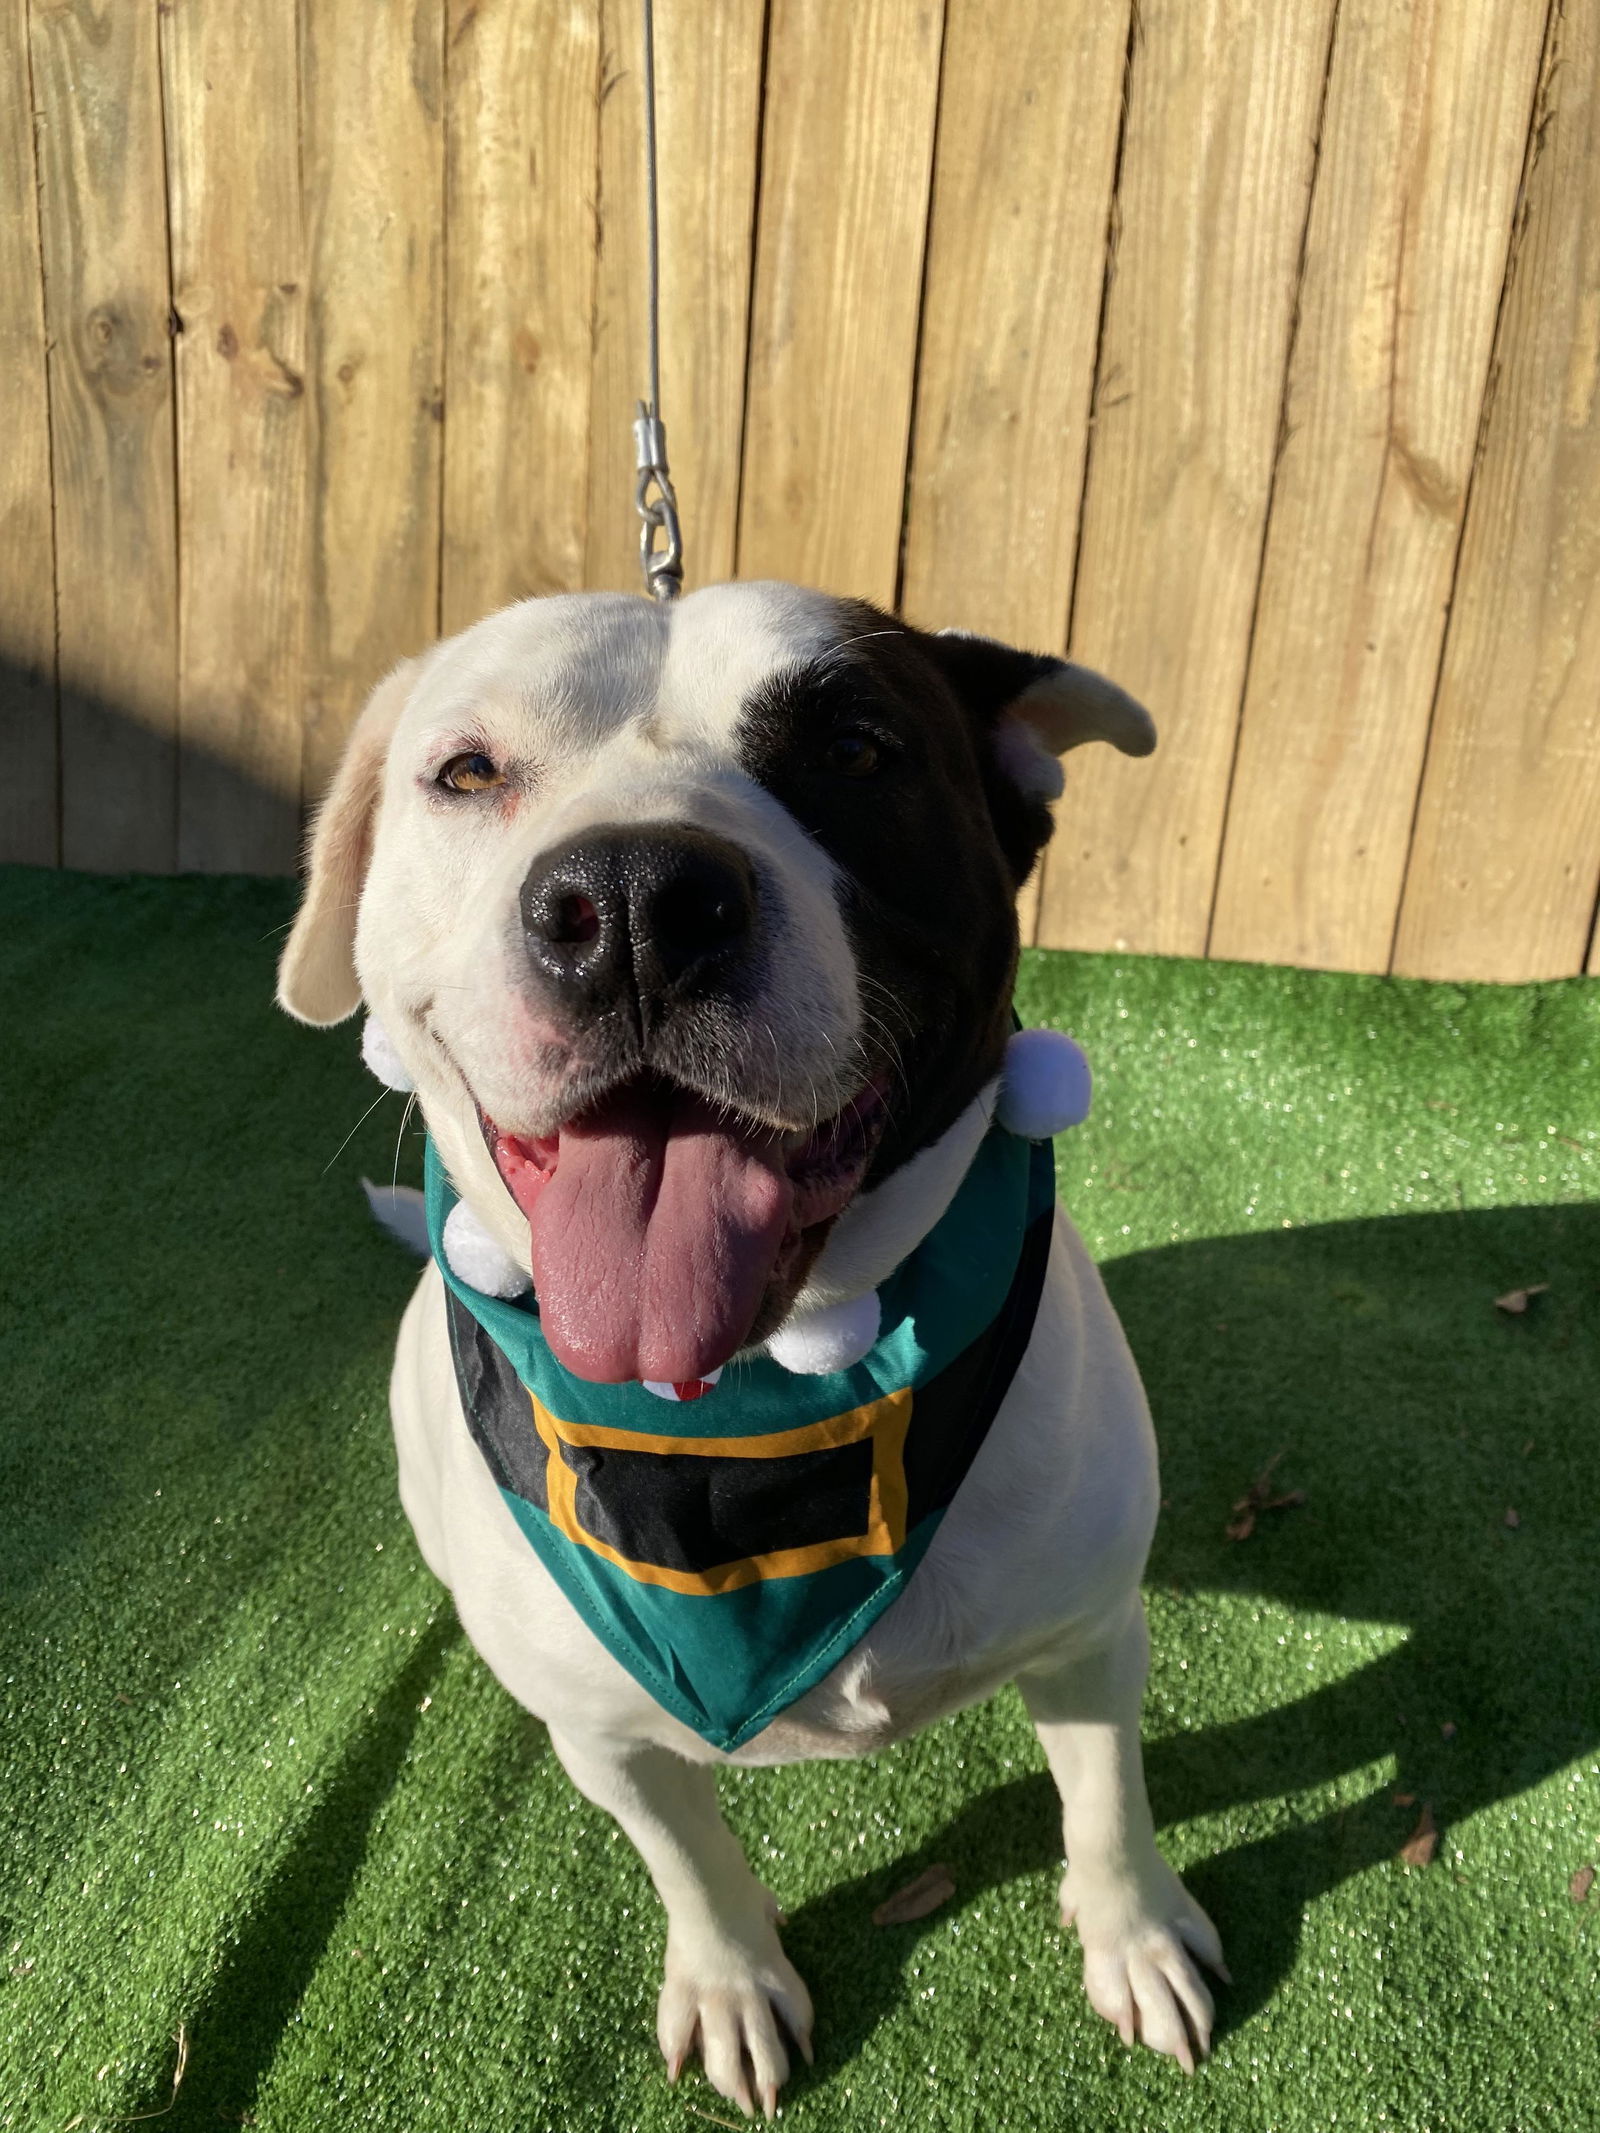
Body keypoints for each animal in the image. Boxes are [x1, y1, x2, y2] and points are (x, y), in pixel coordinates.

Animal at [275, 580, 1228, 2115]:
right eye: (466, 773)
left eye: (853, 749)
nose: (631, 903)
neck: (755, 1403)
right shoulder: (610, 1738)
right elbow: (691, 1860)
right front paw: (732, 1980)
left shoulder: (1090, 1636)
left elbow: (1106, 1804)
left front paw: (1133, 1932)